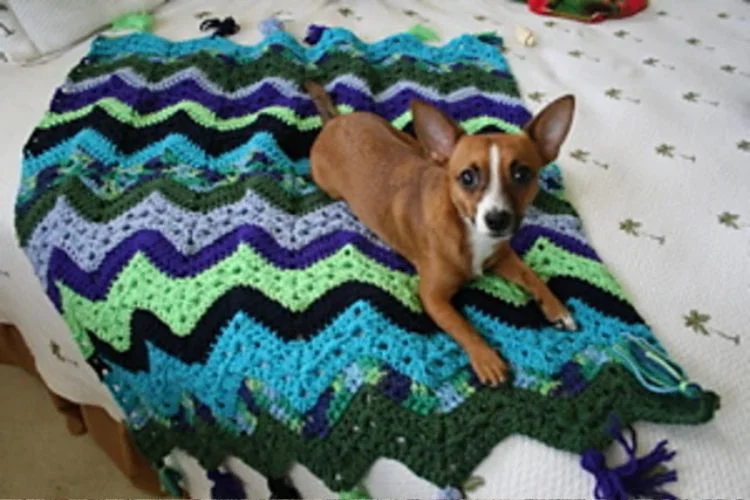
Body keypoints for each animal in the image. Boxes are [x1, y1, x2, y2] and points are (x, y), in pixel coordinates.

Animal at [306, 83, 580, 386]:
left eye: (522, 174)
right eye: (467, 177)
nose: (497, 219)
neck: (468, 229)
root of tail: (335, 121)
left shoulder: (502, 256)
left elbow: (532, 276)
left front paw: (557, 308)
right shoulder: (433, 298)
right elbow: (462, 326)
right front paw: (487, 359)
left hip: (404, 137)